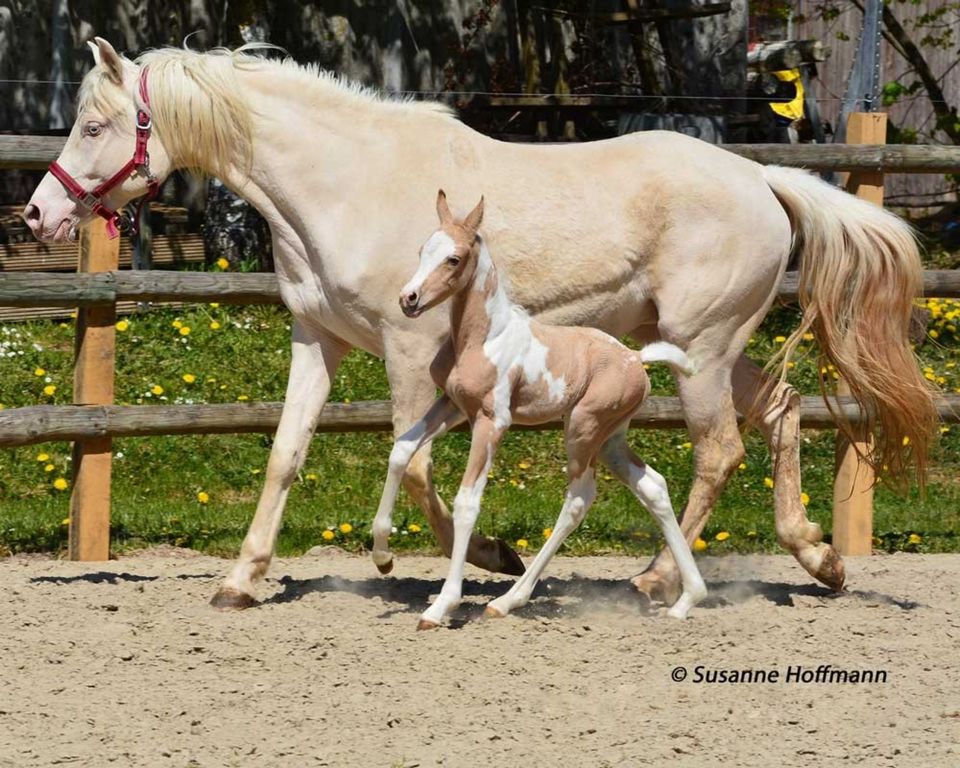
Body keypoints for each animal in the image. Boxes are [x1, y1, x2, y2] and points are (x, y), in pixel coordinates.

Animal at [372, 194, 708, 632]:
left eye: (454, 259)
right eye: (422, 250)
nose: (408, 299)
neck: (482, 338)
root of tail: (636, 358)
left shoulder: (493, 420)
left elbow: (467, 502)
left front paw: (441, 606)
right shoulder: (453, 405)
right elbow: (401, 450)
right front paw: (382, 556)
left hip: (583, 428)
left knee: (579, 497)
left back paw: (506, 601)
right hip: (610, 437)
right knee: (652, 486)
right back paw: (687, 600)